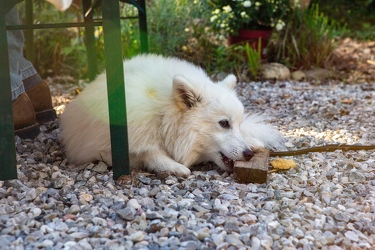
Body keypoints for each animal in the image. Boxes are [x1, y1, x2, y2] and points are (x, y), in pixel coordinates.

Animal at [60, 54, 284, 177]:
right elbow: (147, 151)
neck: (162, 114)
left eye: (236, 124)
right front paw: (173, 166)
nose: (249, 154)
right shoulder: (110, 145)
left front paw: (252, 140)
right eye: (224, 123)